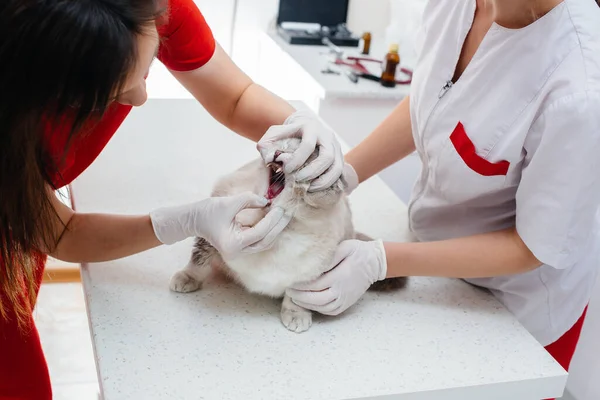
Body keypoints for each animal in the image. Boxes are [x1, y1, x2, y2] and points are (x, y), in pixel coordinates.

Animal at [168, 138, 408, 332]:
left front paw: (296, 317)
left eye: (306, 156)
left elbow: (296, 299)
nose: (277, 153)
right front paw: (186, 278)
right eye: (282, 144)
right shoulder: (213, 230)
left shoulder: (309, 276)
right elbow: (198, 262)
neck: (265, 219)